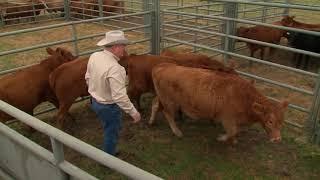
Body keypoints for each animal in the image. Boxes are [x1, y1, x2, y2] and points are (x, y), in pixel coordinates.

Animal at [149, 62, 288, 143]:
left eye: (282, 121)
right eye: (270, 121)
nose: (277, 139)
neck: (244, 96)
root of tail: (161, 66)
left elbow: (236, 131)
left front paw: (234, 140)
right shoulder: (227, 119)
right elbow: (232, 132)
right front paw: (222, 138)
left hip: (161, 97)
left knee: (155, 104)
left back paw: (151, 121)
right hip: (169, 101)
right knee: (167, 114)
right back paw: (177, 132)